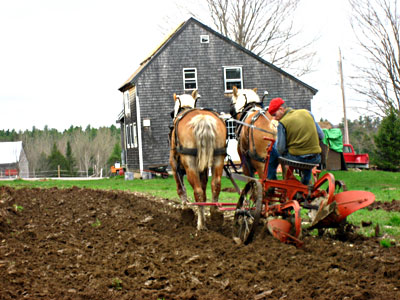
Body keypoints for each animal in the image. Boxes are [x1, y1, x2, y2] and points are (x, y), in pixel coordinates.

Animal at [169, 89, 228, 230]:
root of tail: (203, 118)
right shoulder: (204, 168)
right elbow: (205, 188)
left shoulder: (173, 164)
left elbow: (181, 188)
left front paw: (186, 210)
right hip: (218, 158)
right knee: (215, 185)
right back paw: (215, 214)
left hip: (190, 164)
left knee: (198, 191)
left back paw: (200, 225)